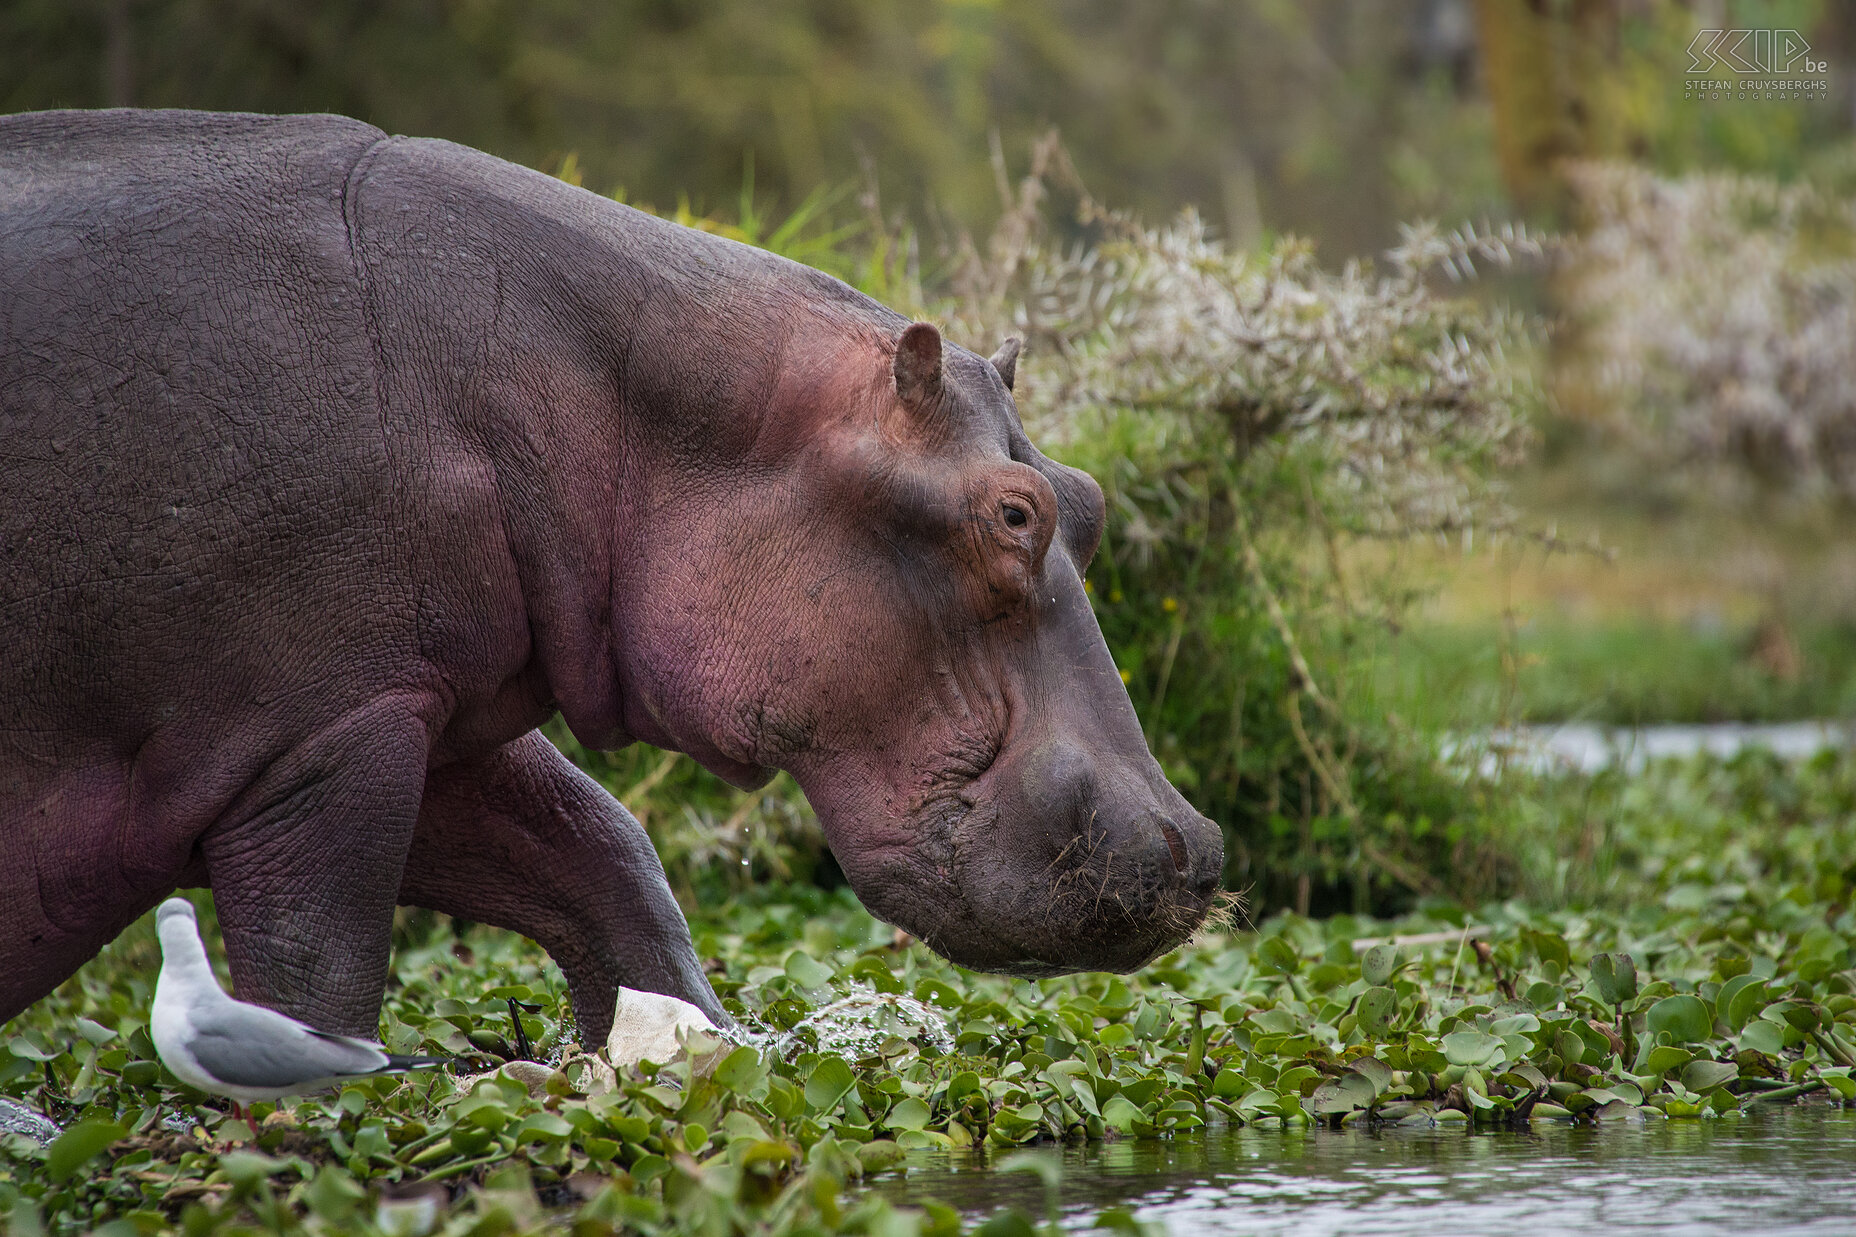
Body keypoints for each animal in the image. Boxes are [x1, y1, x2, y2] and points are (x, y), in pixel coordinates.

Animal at [3, 110, 1232, 1047]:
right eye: (1012, 514)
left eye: (1086, 497)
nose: (1192, 846)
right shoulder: (322, 729)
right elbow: (321, 970)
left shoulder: (415, 710)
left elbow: (599, 854)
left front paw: (700, 1049)